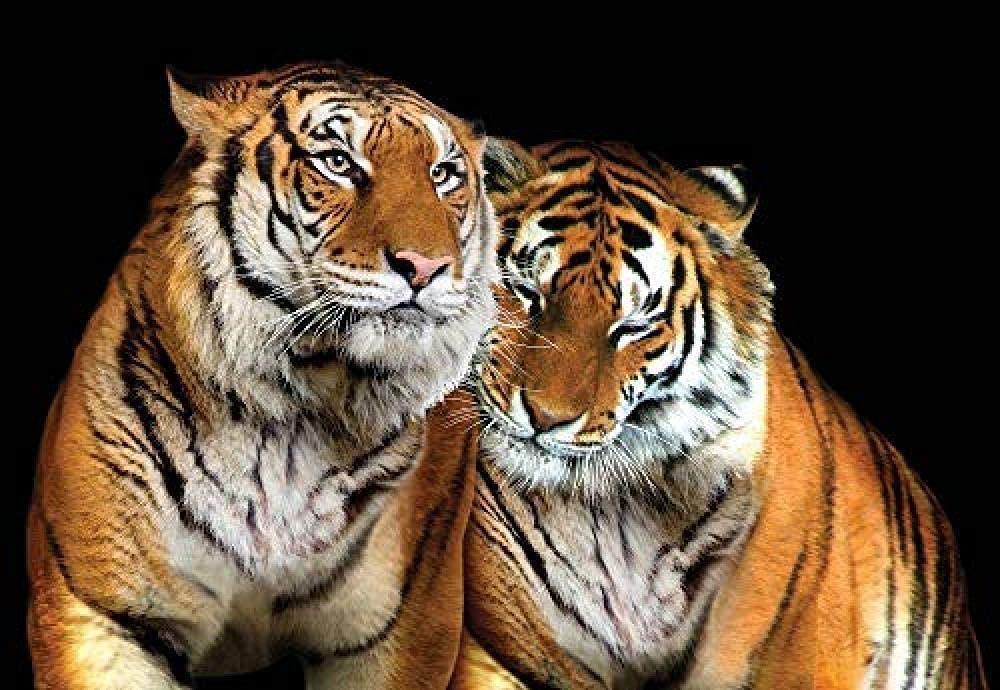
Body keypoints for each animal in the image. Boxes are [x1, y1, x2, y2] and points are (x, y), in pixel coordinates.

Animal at [26, 62, 499, 689]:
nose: (426, 267)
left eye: (443, 175)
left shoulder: (400, 631)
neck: (290, 415)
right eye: (338, 162)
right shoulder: (103, 612)